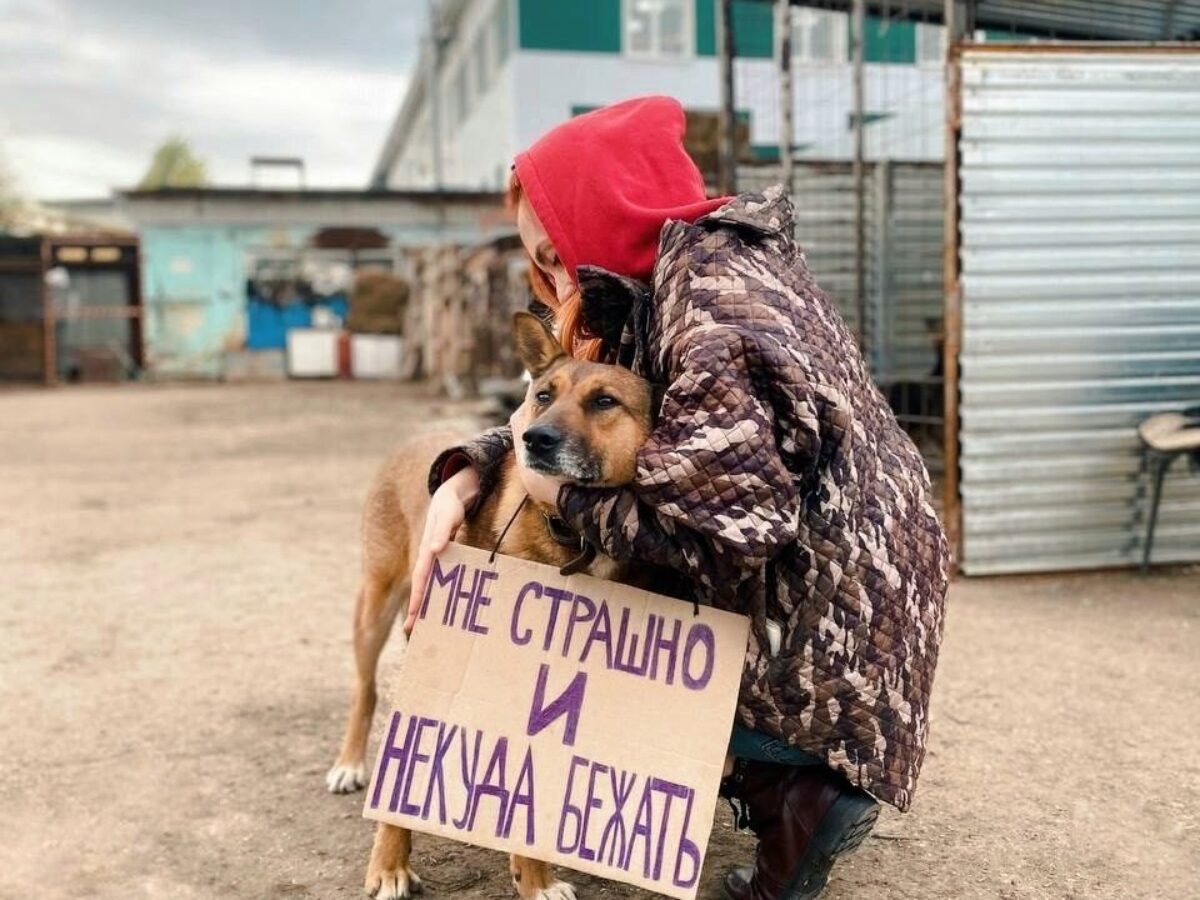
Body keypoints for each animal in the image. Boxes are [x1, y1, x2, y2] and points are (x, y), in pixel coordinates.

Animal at [328, 312, 657, 900]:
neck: (572, 534)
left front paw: (532, 872)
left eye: (605, 401)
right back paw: (349, 764)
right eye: (543, 395)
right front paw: (389, 865)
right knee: (365, 692)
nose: (534, 438)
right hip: (376, 608)